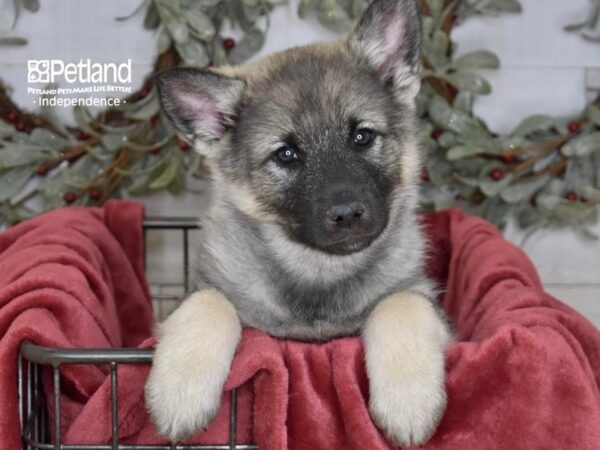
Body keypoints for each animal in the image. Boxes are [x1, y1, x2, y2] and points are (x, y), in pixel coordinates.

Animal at [146, 0, 450, 444]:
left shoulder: (427, 302)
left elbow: (401, 302)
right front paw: (179, 391)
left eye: (362, 136)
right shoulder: (201, 294)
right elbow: (208, 301)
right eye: (286, 155)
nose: (348, 214)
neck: (317, 269)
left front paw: (408, 401)